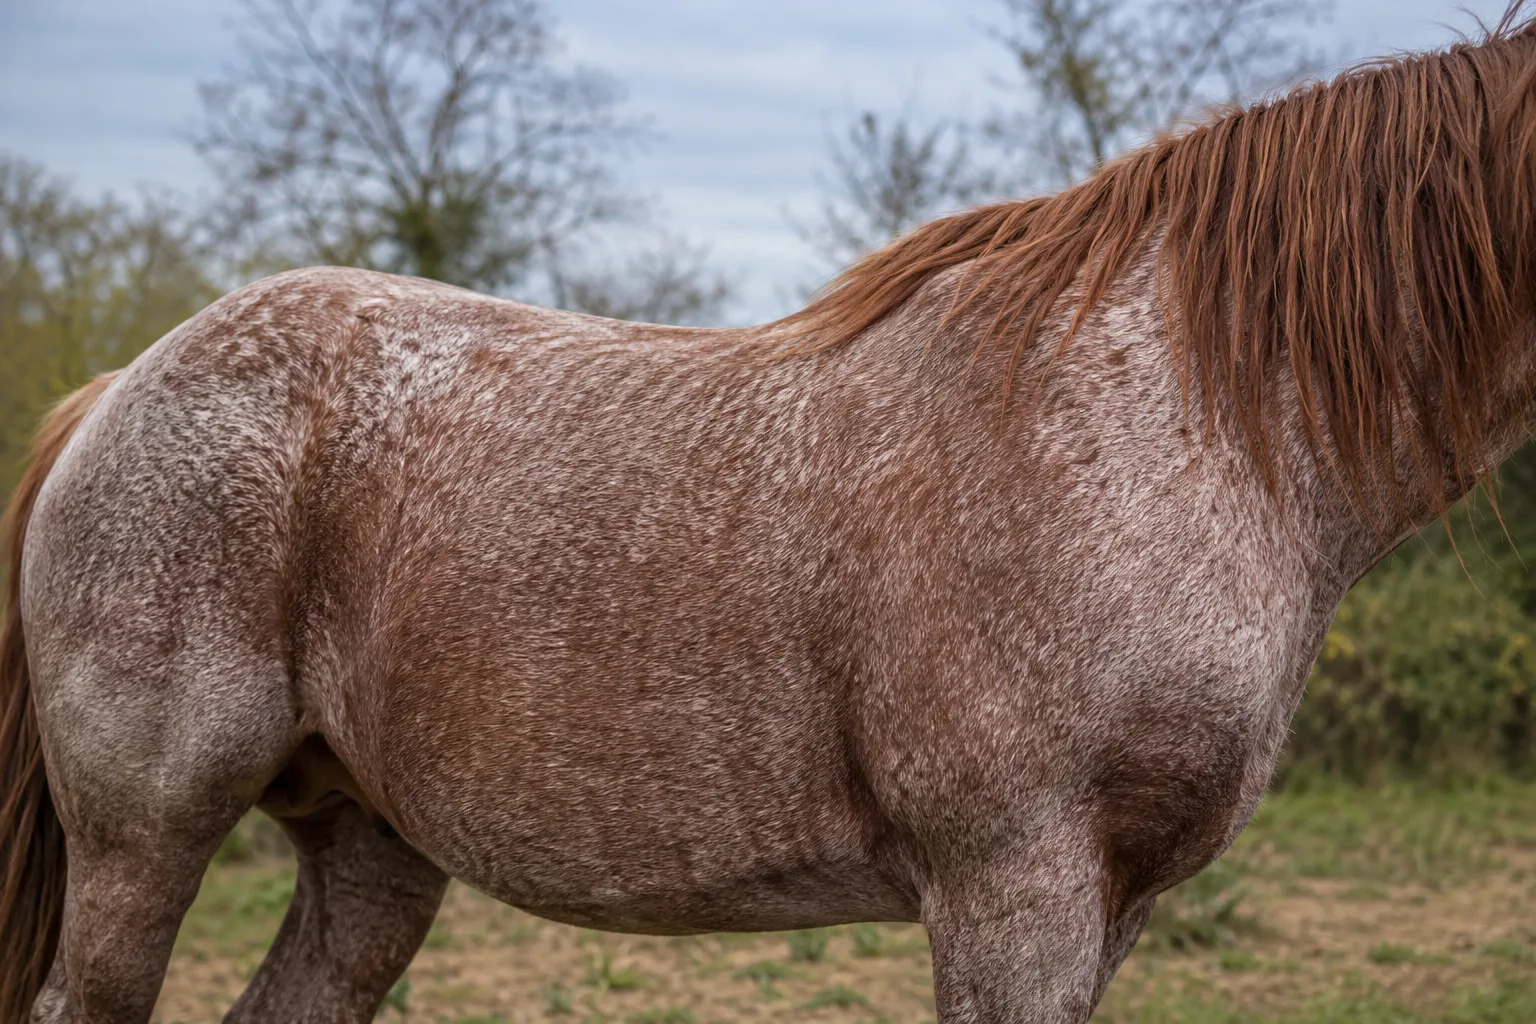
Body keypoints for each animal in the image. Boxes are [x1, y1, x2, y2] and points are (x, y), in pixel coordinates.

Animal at [3, 7, 1536, 1022]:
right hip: (143, 843)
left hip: (370, 859)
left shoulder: (1119, 905)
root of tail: (116, 392)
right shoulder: (1017, 887)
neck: (1171, 417)